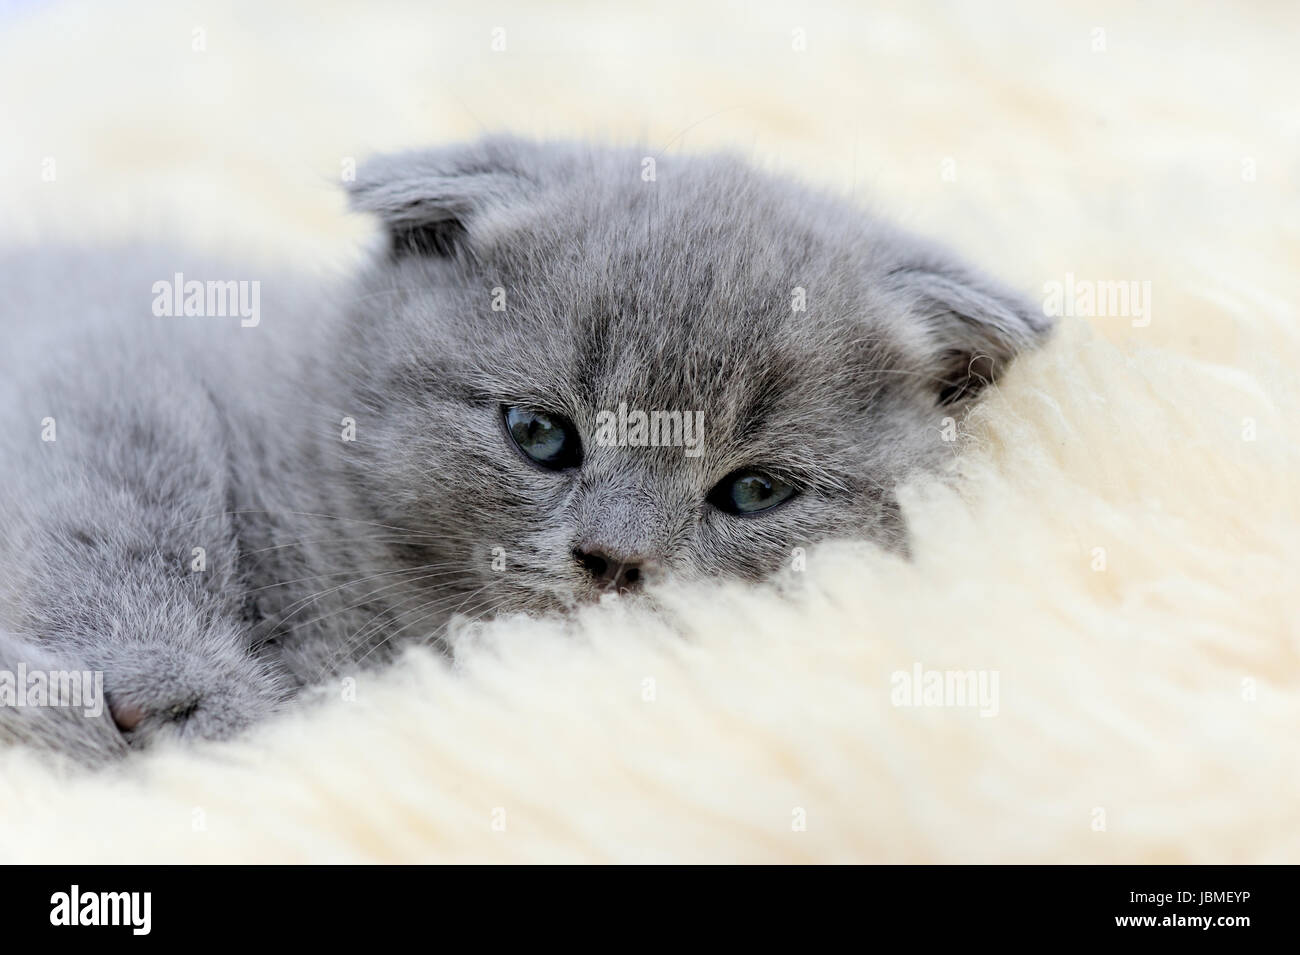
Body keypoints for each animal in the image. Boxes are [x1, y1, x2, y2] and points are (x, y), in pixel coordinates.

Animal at [0, 136, 1052, 762]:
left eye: (754, 492)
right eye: (542, 435)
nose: (616, 560)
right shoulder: (113, 359)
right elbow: (117, 507)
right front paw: (161, 680)